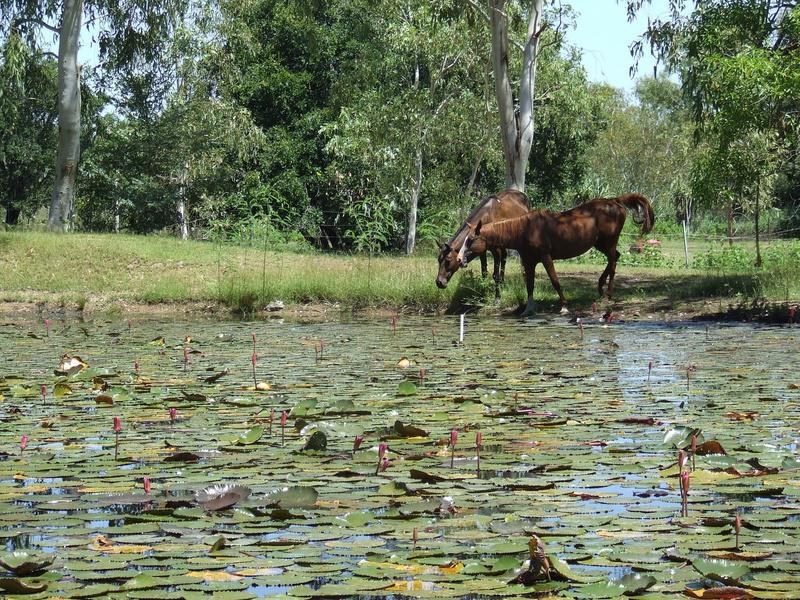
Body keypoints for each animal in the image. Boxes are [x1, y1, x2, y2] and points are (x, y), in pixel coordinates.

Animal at [460, 193, 652, 316]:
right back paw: (600, 287)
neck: (524, 229)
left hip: (609, 242)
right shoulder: (528, 261)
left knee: (612, 262)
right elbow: (529, 284)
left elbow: (555, 281)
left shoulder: (546, 257)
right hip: (601, 244)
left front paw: (564, 306)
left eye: (470, 240)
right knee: (615, 257)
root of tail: (615, 201)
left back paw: (608, 294)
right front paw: (528, 309)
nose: (460, 259)